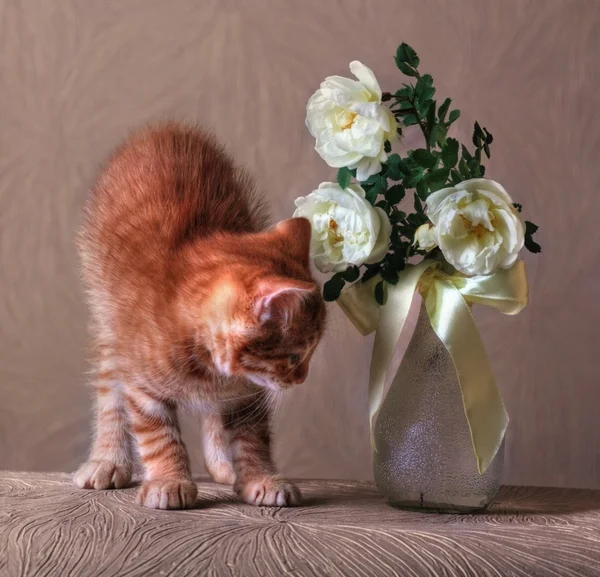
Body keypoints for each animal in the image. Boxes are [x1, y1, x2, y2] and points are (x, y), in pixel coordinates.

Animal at [75, 122, 328, 508]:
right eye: (295, 356)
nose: (302, 378)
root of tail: (162, 130)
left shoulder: (246, 392)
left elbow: (252, 436)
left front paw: (261, 478)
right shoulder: (141, 382)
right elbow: (158, 434)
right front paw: (168, 481)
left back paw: (222, 462)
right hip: (107, 318)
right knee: (109, 390)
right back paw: (108, 458)